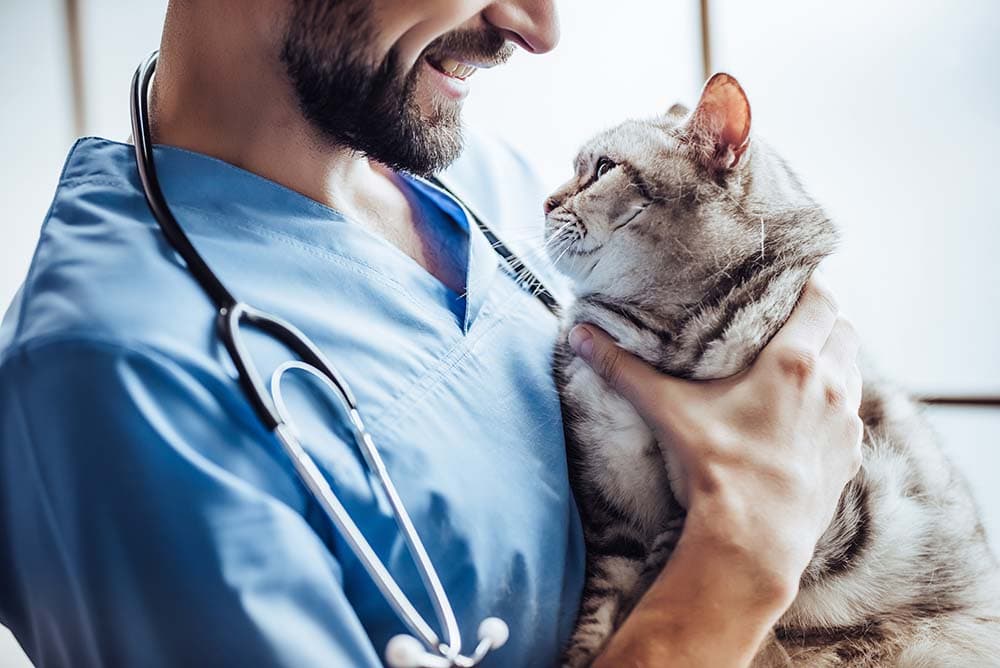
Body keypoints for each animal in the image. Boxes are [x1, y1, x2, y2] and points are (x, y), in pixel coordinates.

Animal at [548, 70, 1000, 664]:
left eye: (601, 169)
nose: (545, 201)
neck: (653, 336)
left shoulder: (845, 502)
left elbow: (665, 558)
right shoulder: (610, 511)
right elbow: (601, 608)